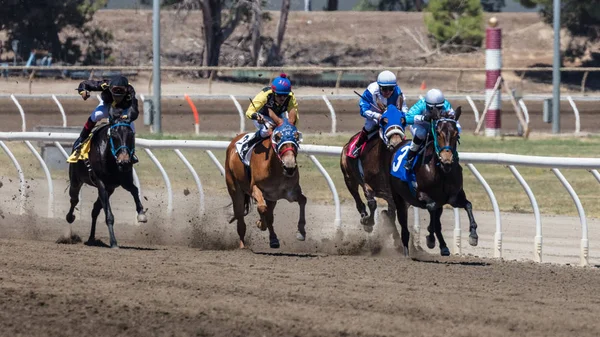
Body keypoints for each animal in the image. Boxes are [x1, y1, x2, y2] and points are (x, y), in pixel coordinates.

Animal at [65, 107, 146, 247]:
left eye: (131, 135)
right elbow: (109, 215)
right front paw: (113, 242)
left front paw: (141, 213)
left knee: (95, 209)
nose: (124, 161)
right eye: (114, 136)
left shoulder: (124, 181)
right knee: (74, 199)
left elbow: (135, 190)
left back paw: (91, 238)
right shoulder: (101, 183)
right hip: (76, 180)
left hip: (110, 189)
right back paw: (70, 217)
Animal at [226, 119, 308, 248]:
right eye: (277, 137)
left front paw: (301, 232)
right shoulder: (255, 188)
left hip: (271, 197)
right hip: (235, 190)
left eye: (296, 136)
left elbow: (303, 200)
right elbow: (262, 208)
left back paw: (273, 239)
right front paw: (260, 223)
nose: (289, 167)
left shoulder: (289, 192)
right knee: (240, 219)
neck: (274, 169)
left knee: (269, 215)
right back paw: (242, 245)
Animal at [340, 105, 406, 242]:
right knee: (358, 201)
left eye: (402, 120)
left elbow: (393, 213)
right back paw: (364, 216)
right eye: (384, 121)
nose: (395, 143)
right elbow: (372, 203)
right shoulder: (367, 185)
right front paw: (368, 222)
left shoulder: (393, 193)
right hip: (349, 179)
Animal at [390, 106, 478, 256]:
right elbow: (432, 209)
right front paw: (430, 238)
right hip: (399, 198)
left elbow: (468, 205)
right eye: (438, 133)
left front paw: (473, 235)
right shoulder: (421, 194)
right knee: (405, 228)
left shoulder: (454, 196)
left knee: (437, 221)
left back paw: (444, 247)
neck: (441, 171)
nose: (447, 160)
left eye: (456, 133)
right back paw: (407, 252)